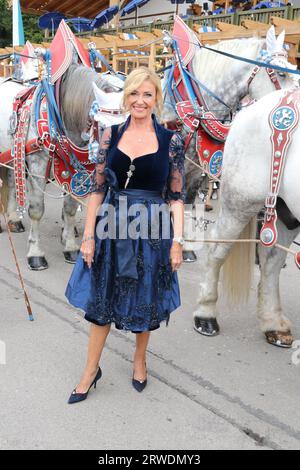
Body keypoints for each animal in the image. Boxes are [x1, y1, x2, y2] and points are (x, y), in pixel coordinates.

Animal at [0, 62, 123, 268]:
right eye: (103, 127)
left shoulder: (76, 174)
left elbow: (70, 209)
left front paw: (71, 248)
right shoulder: (37, 166)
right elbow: (36, 210)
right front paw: (35, 254)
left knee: (10, 180)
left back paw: (14, 220)